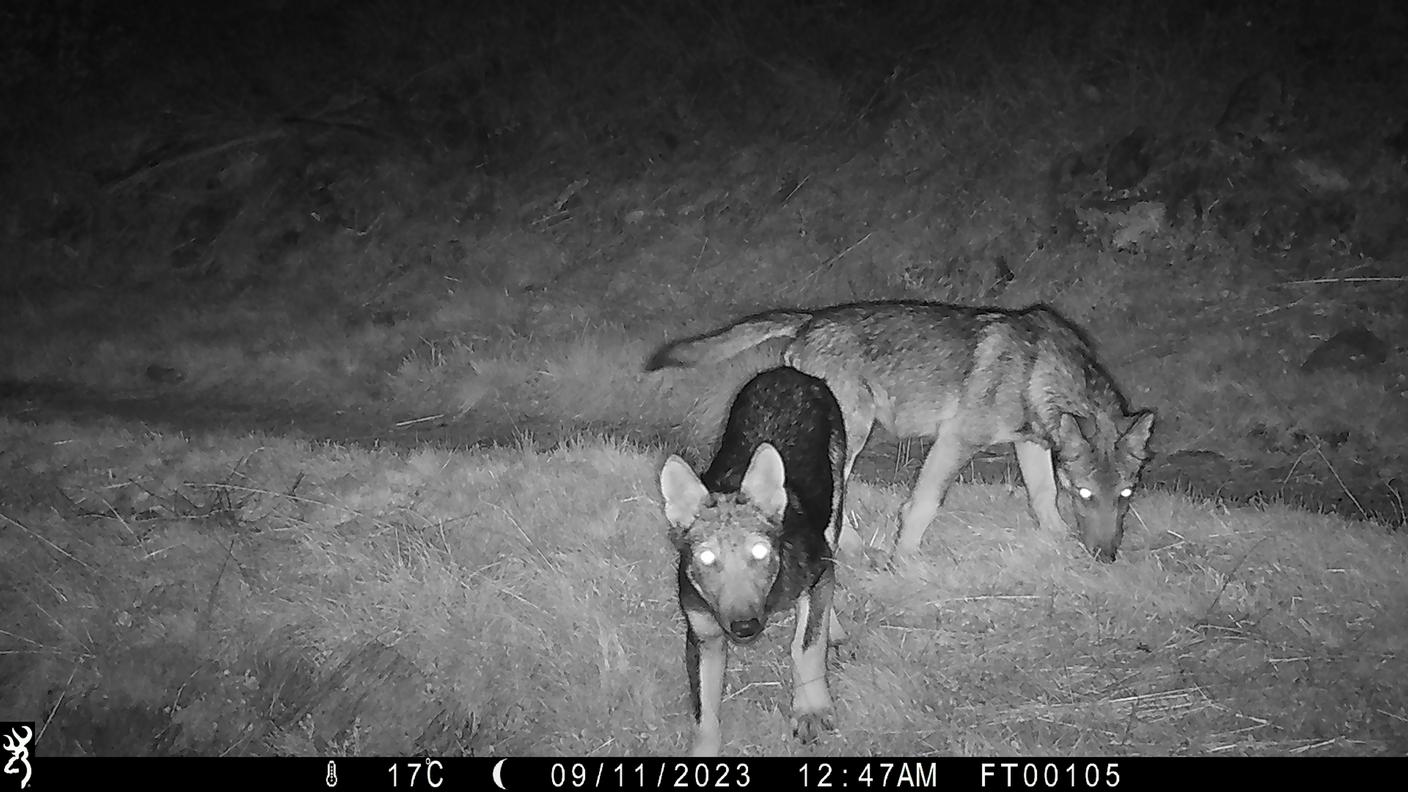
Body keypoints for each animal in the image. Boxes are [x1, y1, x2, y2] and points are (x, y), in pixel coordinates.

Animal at [648, 301, 1154, 563]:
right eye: (1085, 495)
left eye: (1126, 496)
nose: (1106, 557)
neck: (1038, 373)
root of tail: (809, 319)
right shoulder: (957, 439)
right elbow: (924, 503)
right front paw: (904, 560)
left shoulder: (1029, 443)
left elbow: (1043, 496)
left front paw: (1057, 540)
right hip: (852, 432)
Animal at [659, 366, 848, 757]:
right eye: (707, 557)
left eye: (760, 552)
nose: (745, 627)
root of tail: (788, 371)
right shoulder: (703, 634)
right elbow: (704, 714)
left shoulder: (817, 571)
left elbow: (807, 646)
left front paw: (811, 711)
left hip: (834, 509)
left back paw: (834, 632)